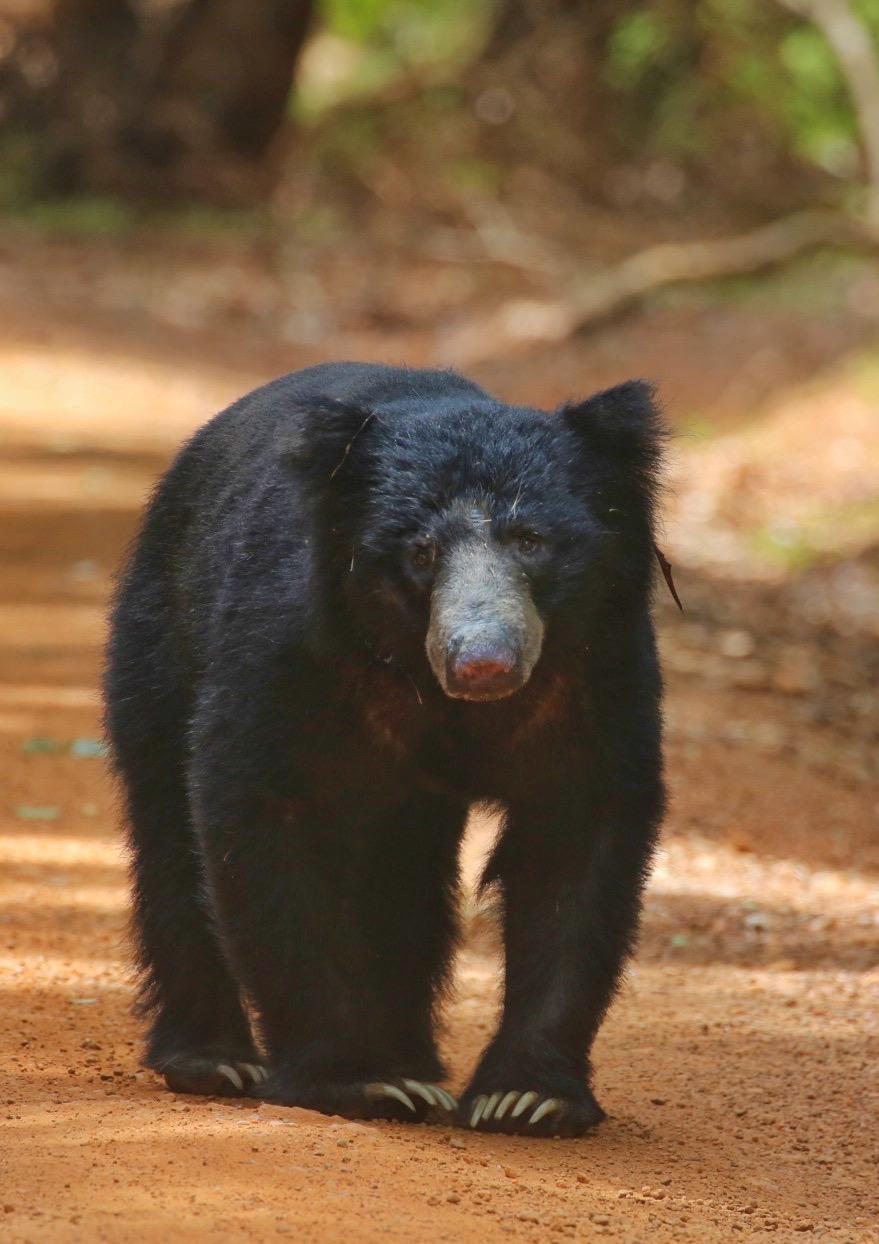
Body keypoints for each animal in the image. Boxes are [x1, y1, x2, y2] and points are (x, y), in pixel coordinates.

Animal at [103, 362, 666, 1138]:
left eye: (531, 540)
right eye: (420, 552)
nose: (482, 662)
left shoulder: (597, 670)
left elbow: (575, 846)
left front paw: (527, 1098)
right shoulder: (292, 653)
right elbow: (263, 818)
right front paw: (356, 1081)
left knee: (401, 884)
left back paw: (413, 1059)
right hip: (160, 644)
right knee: (167, 828)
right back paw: (214, 1060)